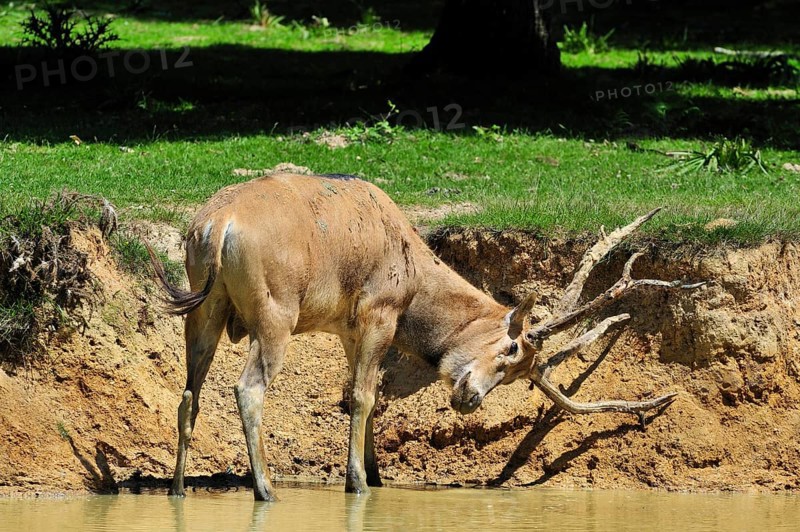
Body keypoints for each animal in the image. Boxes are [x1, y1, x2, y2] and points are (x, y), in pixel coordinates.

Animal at [147, 172, 702, 501]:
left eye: (518, 375)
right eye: (509, 350)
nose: (470, 398)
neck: (413, 277)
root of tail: (217, 224)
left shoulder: (350, 328)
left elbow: (359, 397)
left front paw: (375, 474)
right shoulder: (379, 312)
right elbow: (365, 397)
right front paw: (357, 483)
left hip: (204, 308)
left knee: (188, 394)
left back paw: (177, 488)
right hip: (275, 314)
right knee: (248, 388)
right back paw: (265, 488)